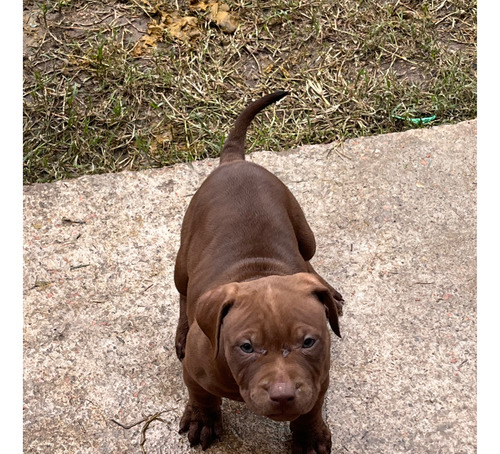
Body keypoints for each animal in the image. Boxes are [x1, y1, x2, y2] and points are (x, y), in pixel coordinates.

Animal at [173, 90, 344, 452]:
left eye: (309, 341)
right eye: (247, 347)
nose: (283, 395)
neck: (258, 274)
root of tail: (234, 162)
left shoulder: (319, 377)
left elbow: (311, 408)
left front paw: (309, 436)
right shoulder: (195, 371)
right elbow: (200, 395)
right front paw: (203, 419)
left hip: (304, 232)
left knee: (307, 260)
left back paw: (329, 292)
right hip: (182, 259)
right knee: (182, 292)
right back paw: (181, 330)